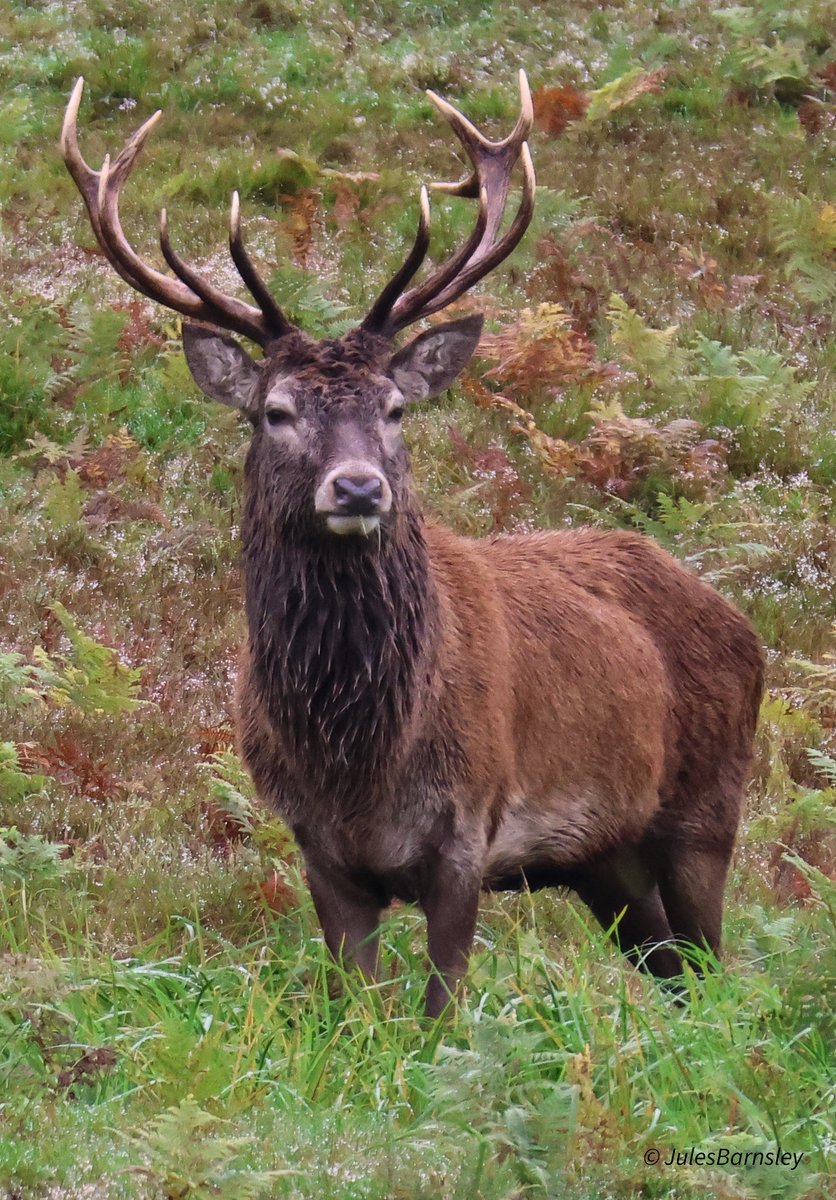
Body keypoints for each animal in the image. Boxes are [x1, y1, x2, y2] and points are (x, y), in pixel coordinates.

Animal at [61, 73, 764, 1018]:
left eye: (394, 408)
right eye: (275, 411)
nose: (358, 487)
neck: (360, 750)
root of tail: (738, 619)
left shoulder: (470, 827)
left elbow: (440, 1012)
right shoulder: (317, 846)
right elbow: (356, 1010)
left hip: (708, 809)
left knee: (716, 972)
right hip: (602, 861)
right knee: (675, 972)